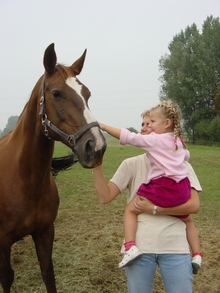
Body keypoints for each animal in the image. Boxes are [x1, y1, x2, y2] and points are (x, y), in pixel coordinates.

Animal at [0, 44, 106, 292]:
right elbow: (6, 278)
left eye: (87, 94)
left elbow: (48, 274)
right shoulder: (2, 241)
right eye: (56, 93)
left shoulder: (45, 232)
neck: (25, 179)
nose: (96, 147)